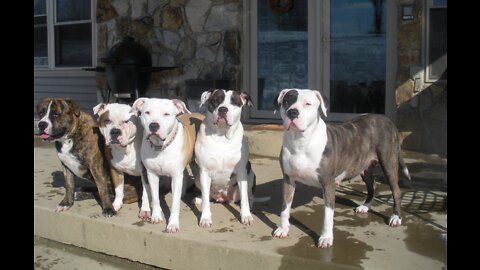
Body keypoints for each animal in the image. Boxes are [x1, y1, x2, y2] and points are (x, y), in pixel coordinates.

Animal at [131, 98, 204, 233]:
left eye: (166, 114)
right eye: (147, 112)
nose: (154, 125)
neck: (161, 147)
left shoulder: (175, 176)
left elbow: (175, 204)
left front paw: (173, 224)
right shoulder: (151, 174)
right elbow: (155, 198)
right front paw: (156, 216)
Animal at [272, 89, 410, 249]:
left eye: (307, 103)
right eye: (286, 102)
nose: (292, 112)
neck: (300, 141)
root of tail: (388, 120)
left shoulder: (328, 184)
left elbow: (328, 215)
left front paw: (326, 238)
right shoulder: (288, 180)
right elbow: (284, 208)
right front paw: (283, 228)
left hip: (388, 163)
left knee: (396, 191)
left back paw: (396, 217)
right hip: (365, 167)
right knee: (372, 186)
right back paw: (365, 206)